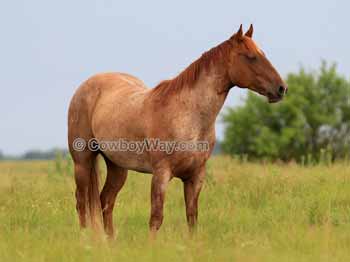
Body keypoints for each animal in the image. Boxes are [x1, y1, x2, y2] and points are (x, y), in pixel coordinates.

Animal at [67, 25, 286, 239]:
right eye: (251, 56)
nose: (281, 89)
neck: (188, 116)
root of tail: (85, 87)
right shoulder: (161, 174)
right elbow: (156, 217)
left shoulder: (195, 176)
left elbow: (192, 217)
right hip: (83, 162)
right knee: (81, 201)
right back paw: (84, 239)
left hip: (117, 167)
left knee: (106, 200)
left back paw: (110, 242)